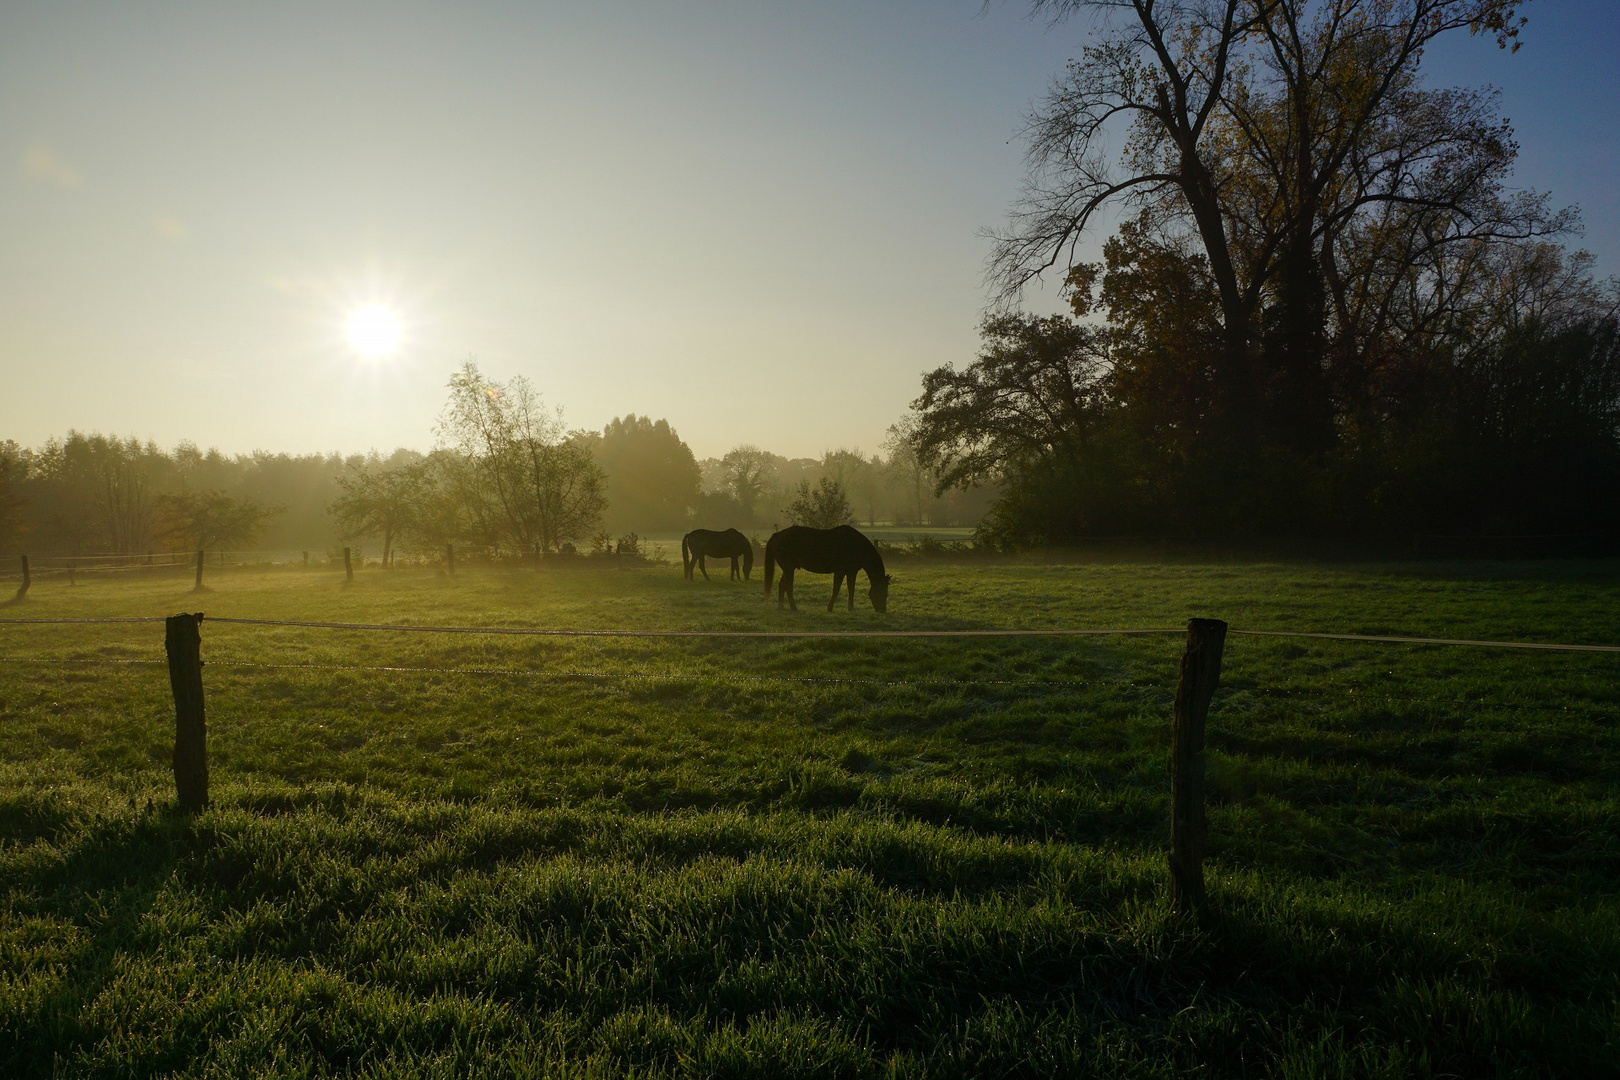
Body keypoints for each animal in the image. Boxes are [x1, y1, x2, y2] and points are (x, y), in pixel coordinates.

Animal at [764, 524, 894, 612]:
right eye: (883, 592)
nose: (882, 611)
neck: (855, 545)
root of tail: (777, 535)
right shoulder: (846, 571)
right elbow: (842, 589)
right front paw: (843, 607)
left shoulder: (847, 572)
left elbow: (846, 588)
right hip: (789, 569)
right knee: (788, 587)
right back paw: (794, 608)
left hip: (788, 569)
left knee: (782, 585)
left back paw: (781, 606)